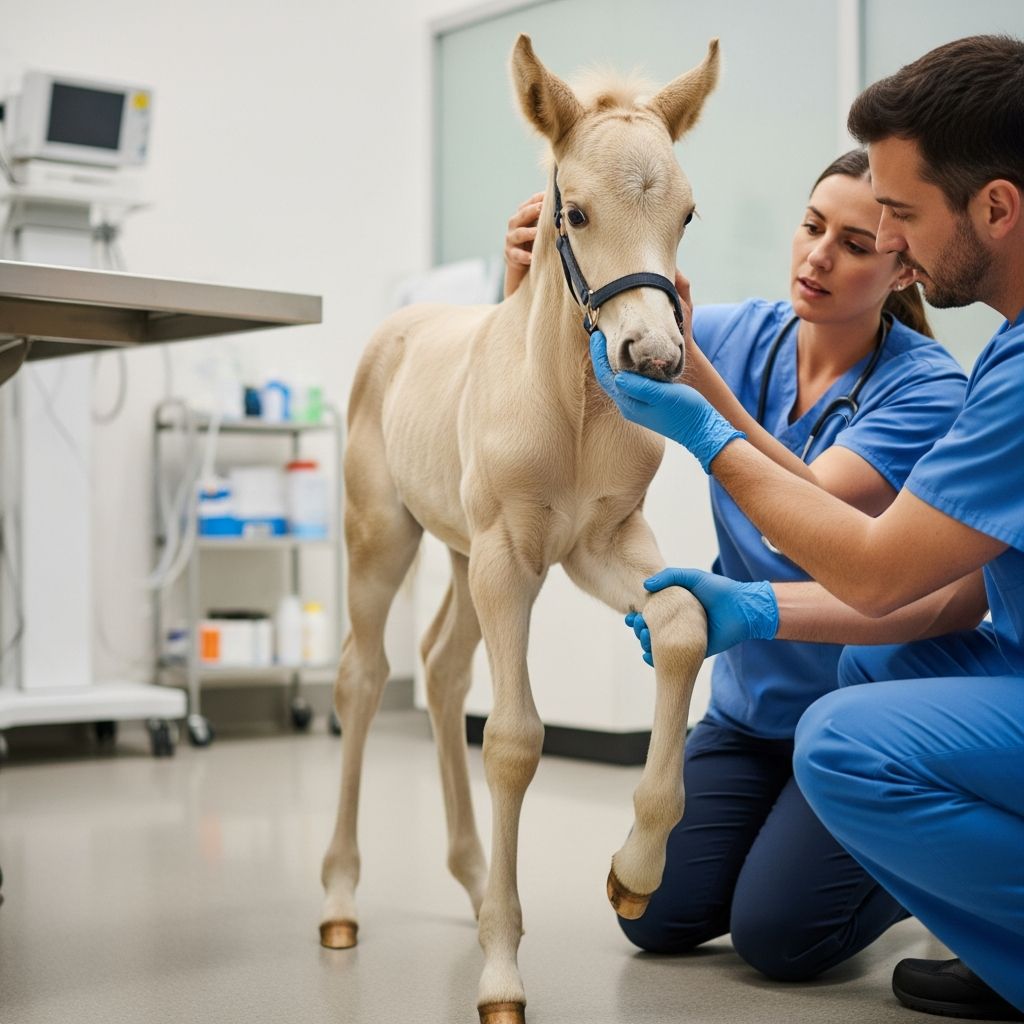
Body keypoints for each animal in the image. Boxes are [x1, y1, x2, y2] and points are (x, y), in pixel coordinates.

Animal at [319, 34, 719, 1024]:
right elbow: (512, 739)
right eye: (573, 210)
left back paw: (471, 882)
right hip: (384, 540)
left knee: (440, 668)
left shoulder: (598, 546)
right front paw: (504, 972)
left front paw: (633, 874)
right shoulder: (510, 559)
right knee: (362, 678)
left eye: (688, 212)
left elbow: (683, 628)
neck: (568, 404)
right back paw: (341, 897)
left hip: (465, 558)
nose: (655, 356)